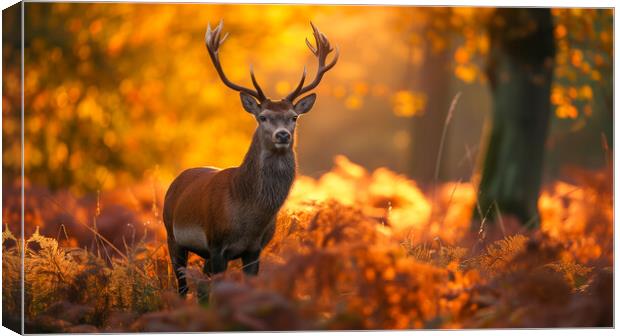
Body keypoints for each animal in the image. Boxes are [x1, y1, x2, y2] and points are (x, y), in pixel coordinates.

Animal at [161, 20, 340, 300]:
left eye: (293, 117)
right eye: (263, 116)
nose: (282, 135)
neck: (249, 217)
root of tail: (177, 180)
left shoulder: (255, 249)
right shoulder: (216, 243)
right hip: (172, 234)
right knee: (182, 285)